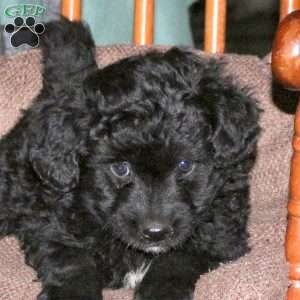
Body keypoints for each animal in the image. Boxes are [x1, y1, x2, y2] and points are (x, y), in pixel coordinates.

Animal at [0, 19, 260, 298]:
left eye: (185, 165)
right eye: (121, 168)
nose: (155, 232)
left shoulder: (222, 233)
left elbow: (179, 257)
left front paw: (161, 291)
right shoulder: (53, 224)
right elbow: (73, 262)